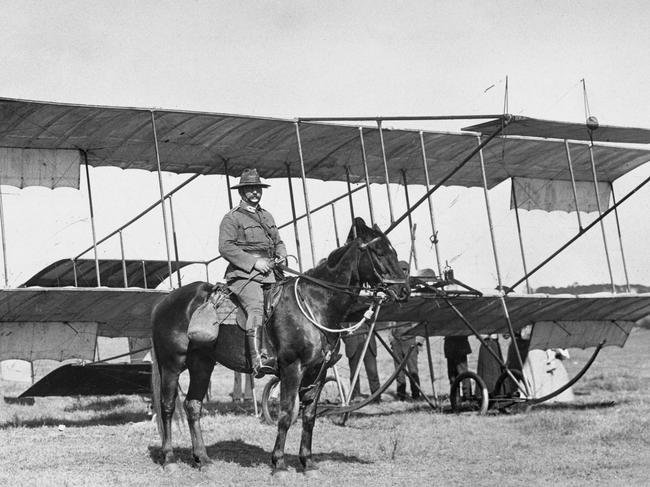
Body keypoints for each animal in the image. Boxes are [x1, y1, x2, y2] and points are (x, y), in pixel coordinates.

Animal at [149, 218, 408, 476]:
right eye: (378, 252)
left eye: (394, 251)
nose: (404, 290)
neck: (315, 303)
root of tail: (163, 302)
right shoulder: (292, 369)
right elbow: (286, 414)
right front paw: (279, 463)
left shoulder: (318, 371)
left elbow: (309, 416)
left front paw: (308, 463)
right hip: (172, 364)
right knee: (167, 407)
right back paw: (170, 459)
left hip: (202, 365)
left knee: (192, 406)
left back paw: (202, 459)